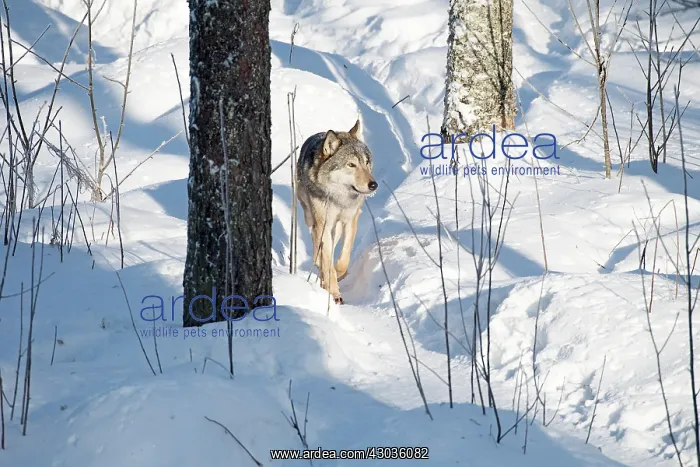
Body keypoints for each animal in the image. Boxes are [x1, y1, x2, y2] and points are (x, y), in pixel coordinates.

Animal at [296, 119, 377, 304]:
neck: (339, 198)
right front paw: (333, 293)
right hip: (312, 219)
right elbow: (327, 261)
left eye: (366, 162)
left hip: (337, 228)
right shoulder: (323, 226)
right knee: (316, 245)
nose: (373, 185)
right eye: (351, 165)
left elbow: (343, 259)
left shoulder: (350, 220)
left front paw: (337, 275)